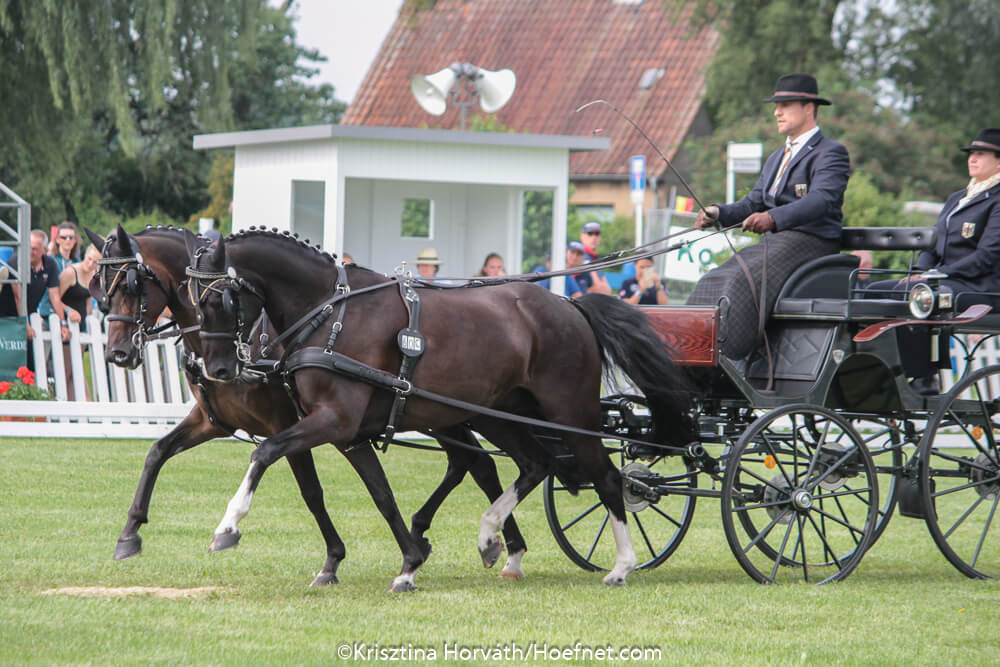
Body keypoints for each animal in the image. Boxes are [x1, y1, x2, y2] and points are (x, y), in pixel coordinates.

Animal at [86, 224, 529, 587]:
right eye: (98, 287)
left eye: (130, 285)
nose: (117, 354)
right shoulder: (214, 422)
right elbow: (157, 452)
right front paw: (130, 533)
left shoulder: (290, 423)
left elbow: (313, 491)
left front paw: (335, 560)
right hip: (446, 413)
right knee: (474, 462)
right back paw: (485, 540)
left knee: (486, 462)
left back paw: (497, 542)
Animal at [186, 228, 695, 588]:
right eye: (194, 302)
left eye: (220, 299)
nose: (218, 369)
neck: (331, 314)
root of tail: (570, 304)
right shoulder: (346, 431)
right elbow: (378, 492)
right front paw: (409, 561)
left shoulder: (335, 420)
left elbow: (264, 451)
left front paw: (228, 527)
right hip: (499, 412)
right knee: (535, 463)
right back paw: (492, 536)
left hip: (569, 412)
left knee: (605, 477)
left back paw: (622, 565)